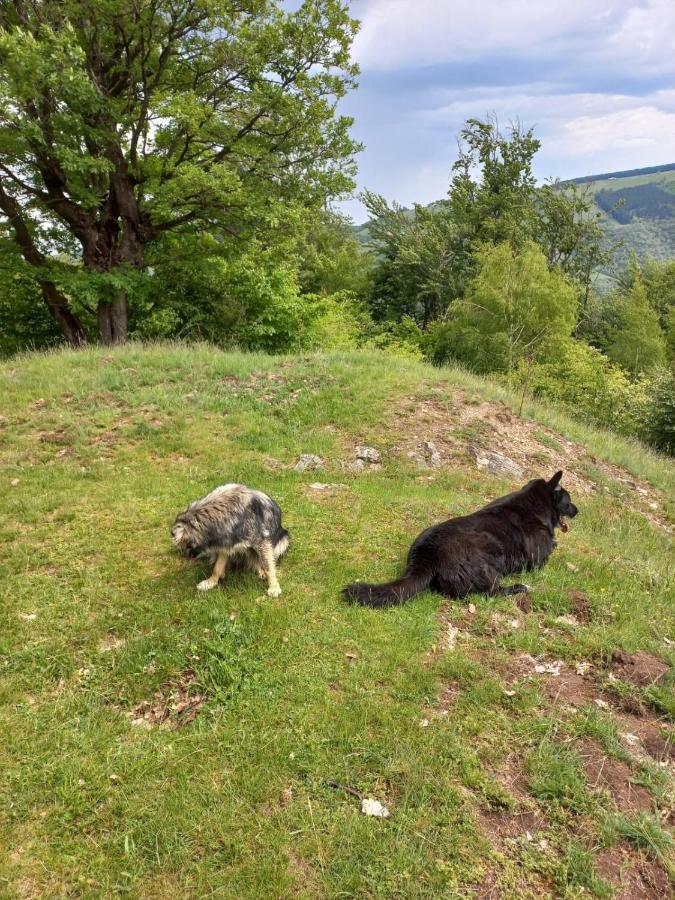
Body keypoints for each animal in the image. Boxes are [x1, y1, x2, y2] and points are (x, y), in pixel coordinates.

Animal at [346, 468, 580, 608]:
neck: (537, 504)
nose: (578, 511)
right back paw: (519, 587)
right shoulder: (538, 562)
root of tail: (425, 557)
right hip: (489, 563)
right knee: (492, 593)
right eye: (569, 501)